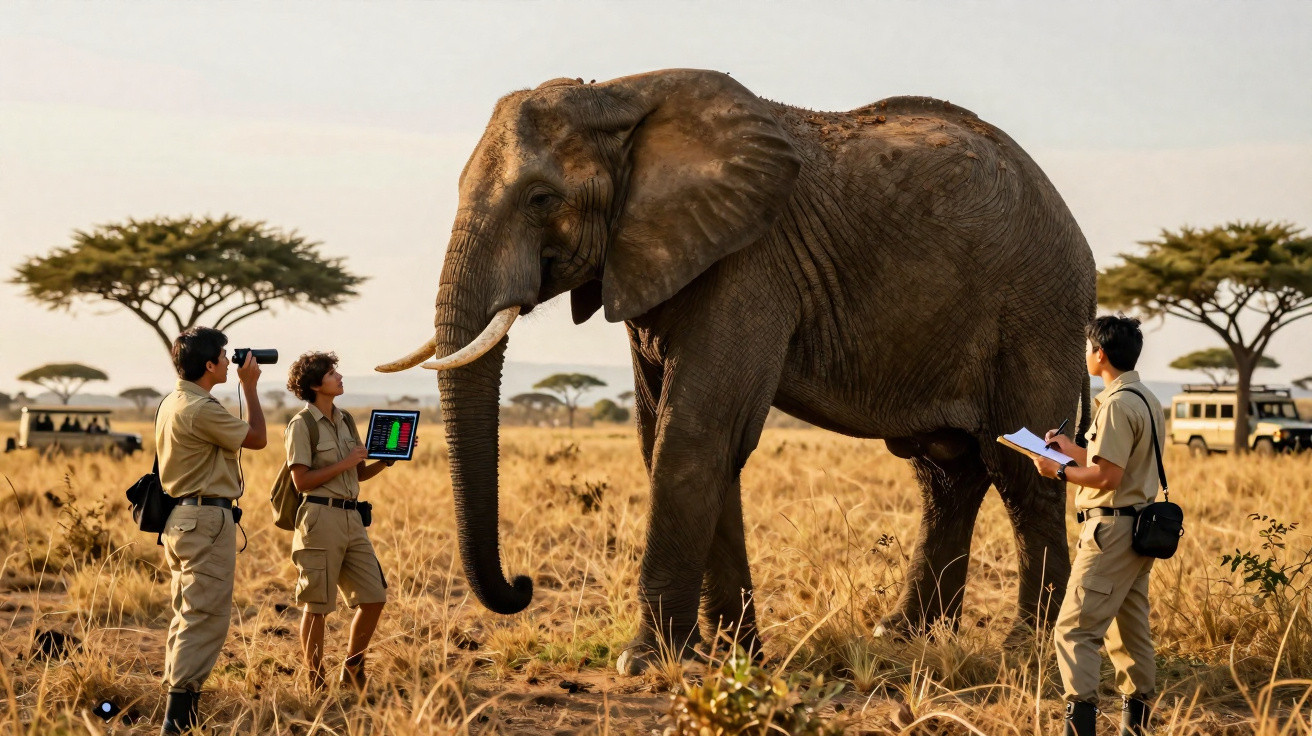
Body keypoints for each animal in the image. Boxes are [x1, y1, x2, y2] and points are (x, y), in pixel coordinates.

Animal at [378, 68, 1096, 675]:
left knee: (1021, 471)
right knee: (944, 474)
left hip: (1034, 311)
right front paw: (730, 656)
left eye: (540, 198)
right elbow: (675, 437)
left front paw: (645, 663)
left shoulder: (750, 262)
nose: (522, 585)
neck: (618, 98)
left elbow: (697, 432)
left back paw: (1028, 650)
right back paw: (903, 637)